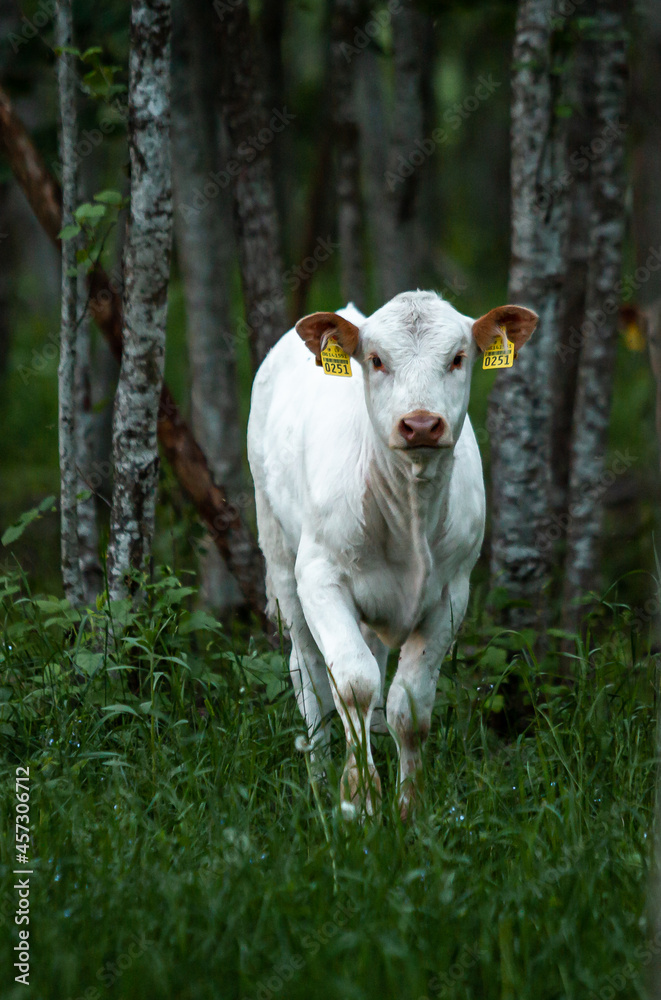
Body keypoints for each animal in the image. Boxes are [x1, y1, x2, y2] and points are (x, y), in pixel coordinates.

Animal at [247, 291, 537, 818]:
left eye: (458, 358)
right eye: (376, 360)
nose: (420, 424)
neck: (410, 515)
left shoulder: (452, 593)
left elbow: (410, 703)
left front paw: (408, 806)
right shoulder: (320, 577)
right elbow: (353, 685)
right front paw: (358, 800)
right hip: (278, 553)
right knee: (310, 677)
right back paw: (318, 777)